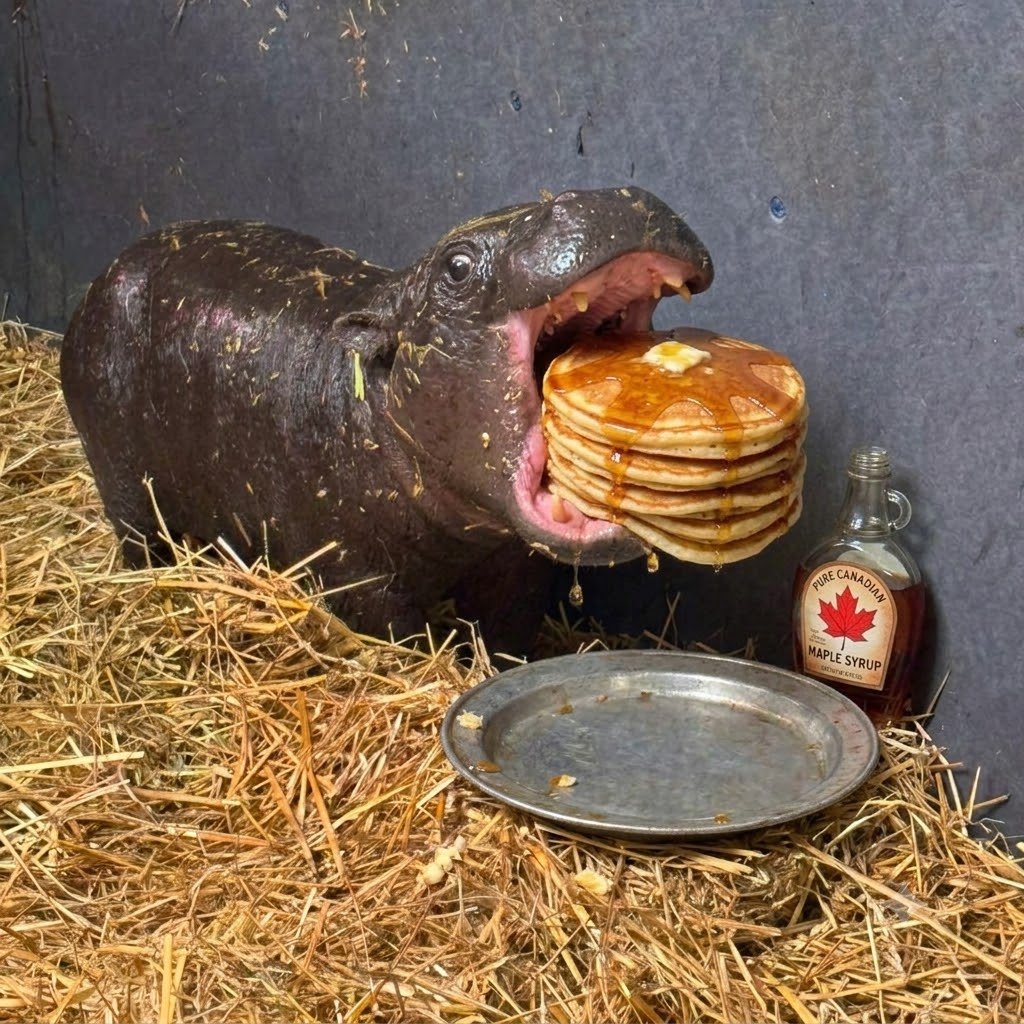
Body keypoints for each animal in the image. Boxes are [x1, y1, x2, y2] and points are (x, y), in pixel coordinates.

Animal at [60, 188, 713, 652]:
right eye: (456, 265)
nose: (612, 197)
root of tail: (105, 273)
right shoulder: (361, 579)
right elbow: (406, 638)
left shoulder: (514, 566)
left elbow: (508, 633)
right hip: (122, 475)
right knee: (140, 536)